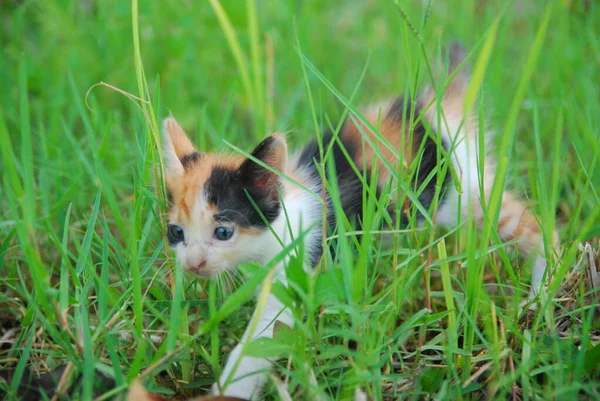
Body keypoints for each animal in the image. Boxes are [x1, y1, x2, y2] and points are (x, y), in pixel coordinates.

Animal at [159, 43, 556, 396]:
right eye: (176, 232)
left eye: (223, 232)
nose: (193, 264)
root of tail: (433, 107)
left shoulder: (299, 263)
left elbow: (260, 342)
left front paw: (230, 389)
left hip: (465, 194)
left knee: (537, 228)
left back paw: (540, 295)